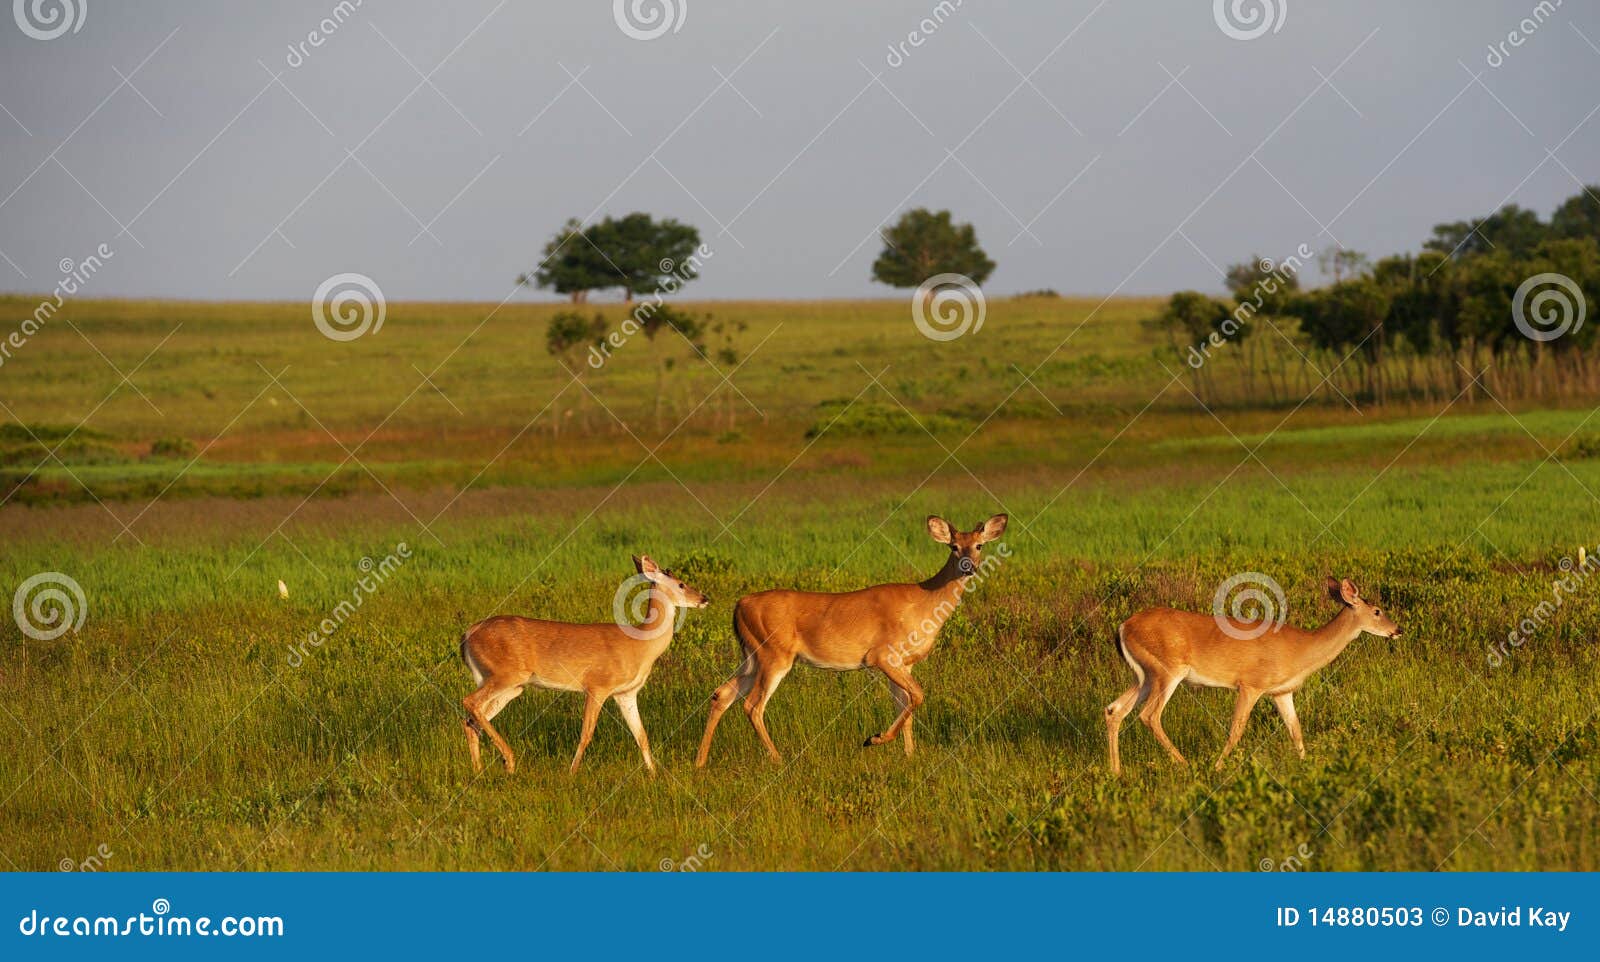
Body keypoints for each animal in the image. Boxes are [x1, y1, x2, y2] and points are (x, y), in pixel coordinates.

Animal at [458, 555, 709, 776]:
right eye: (681, 583)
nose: (704, 598)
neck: (640, 646)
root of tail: (468, 634)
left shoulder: (626, 693)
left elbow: (642, 736)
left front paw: (654, 774)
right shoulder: (597, 685)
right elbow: (586, 734)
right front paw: (572, 772)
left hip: (509, 686)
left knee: (471, 720)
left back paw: (479, 769)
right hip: (506, 675)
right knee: (469, 702)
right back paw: (508, 761)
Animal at [694, 513, 1007, 768]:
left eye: (979, 545)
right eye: (953, 546)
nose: (969, 566)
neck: (924, 604)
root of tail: (739, 605)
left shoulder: (905, 663)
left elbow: (904, 704)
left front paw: (909, 754)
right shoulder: (882, 655)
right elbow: (917, 696)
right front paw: (874, 739)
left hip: (751, 656)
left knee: (722, 694)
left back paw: (700, 761)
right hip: (774, 653)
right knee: (752, 706)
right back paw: (777, 757)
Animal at [1105, 576, 1400, 775]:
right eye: (1377, 611)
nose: (1397, 630)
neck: (1300, 650)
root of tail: (1122, 626)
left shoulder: (1282, 691)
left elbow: (1296, 730)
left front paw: (1306, 765)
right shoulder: (1250, 684)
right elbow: (1236, 729)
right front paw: (1218, 767)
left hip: (1144, 675)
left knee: (1114, 710)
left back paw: (1116, 772)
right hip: (1167, 670)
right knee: (1149, 715)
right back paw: (1185, 764)